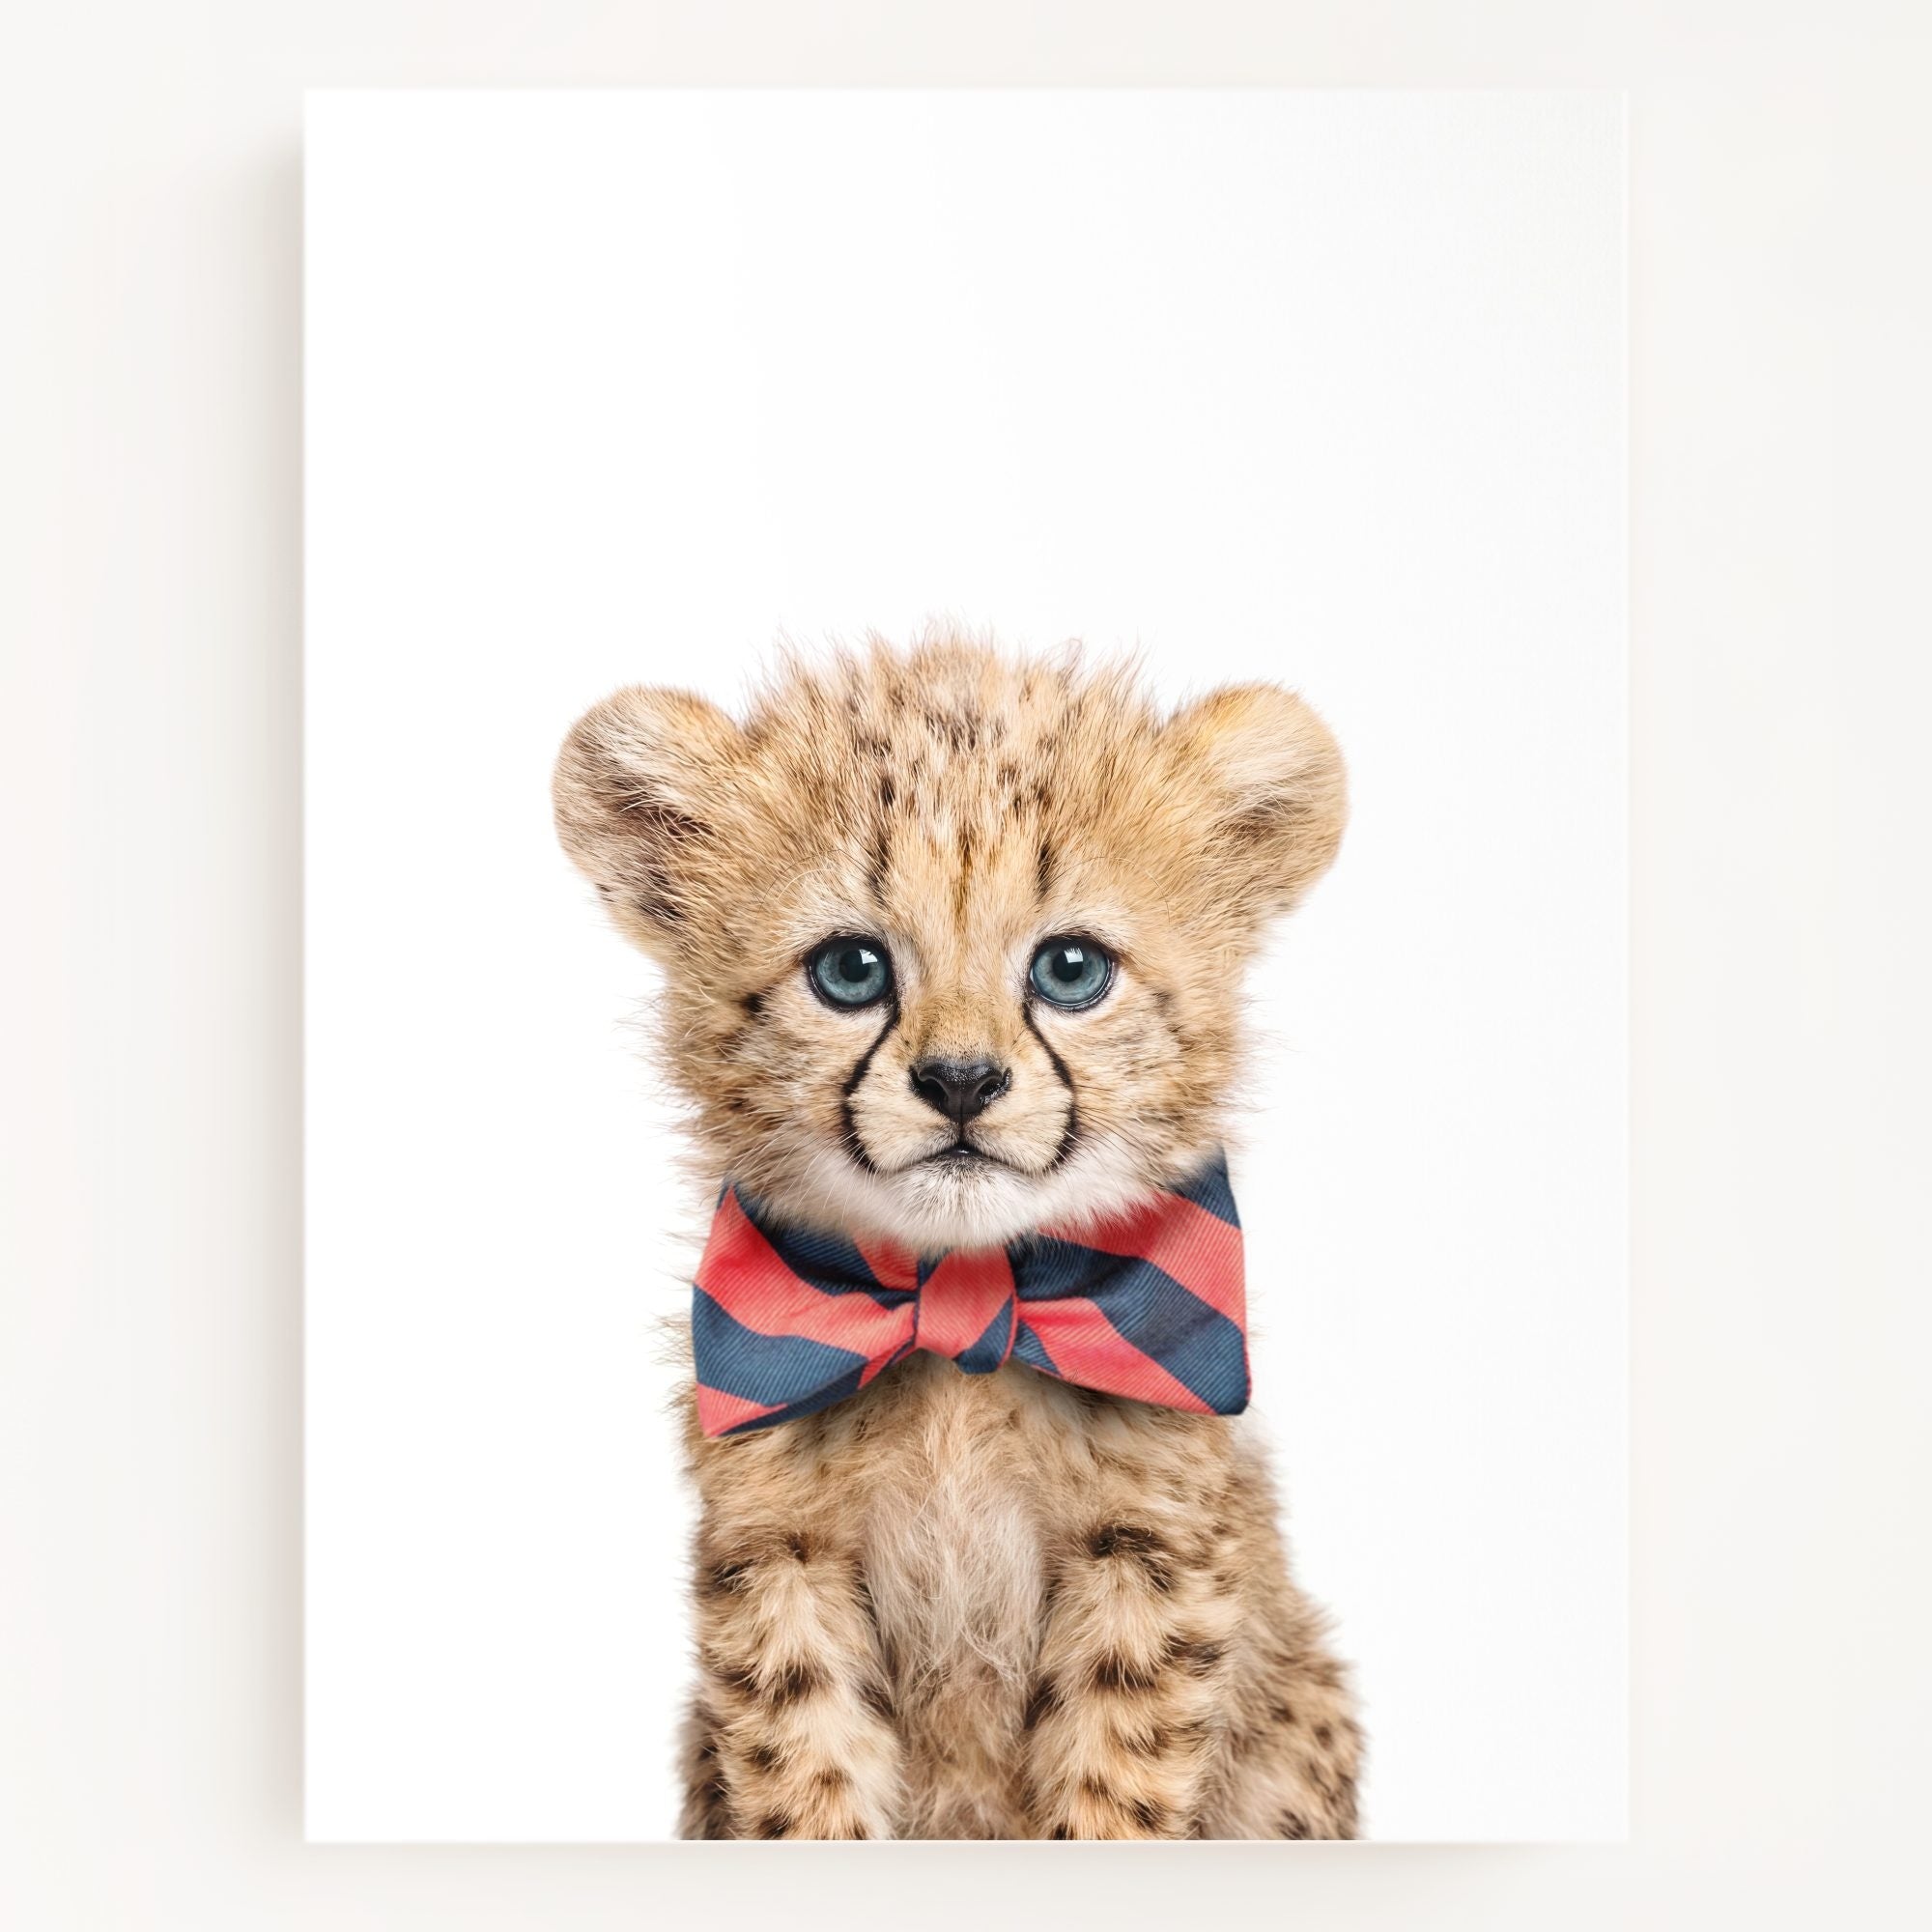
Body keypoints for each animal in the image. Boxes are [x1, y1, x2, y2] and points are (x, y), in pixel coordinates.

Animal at [552, 630, 1362, 1839]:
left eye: (1070, 968)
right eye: (850, 968)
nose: (961, 1080)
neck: (962, 1318)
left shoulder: (1147, 1552)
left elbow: (1115, 1782)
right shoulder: (778, 1555)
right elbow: (805, 1776)